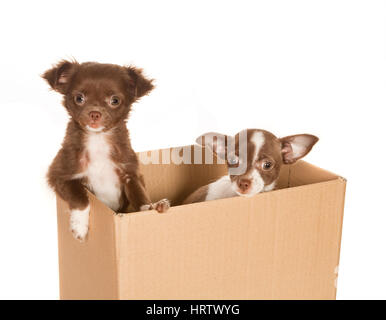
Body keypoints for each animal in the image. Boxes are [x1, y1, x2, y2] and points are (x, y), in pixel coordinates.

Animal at [42, 60, 169, 241]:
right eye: (79, 98)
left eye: (114, 100)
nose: (95, 113)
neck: (98, 140)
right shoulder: (59, 175)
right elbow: (80, 197)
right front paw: (79, 226)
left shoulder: (131, 173)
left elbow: (139, 195)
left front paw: (151, 206)